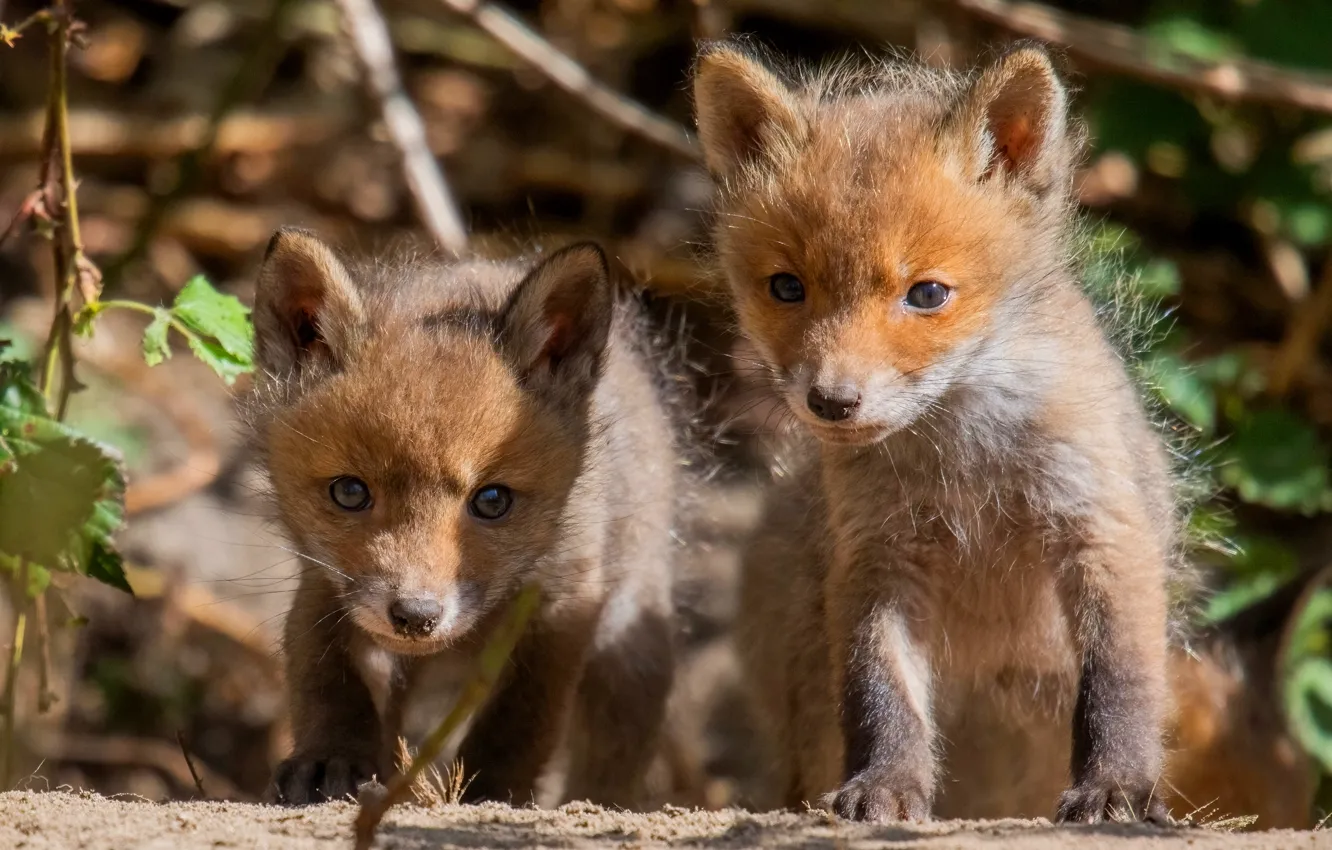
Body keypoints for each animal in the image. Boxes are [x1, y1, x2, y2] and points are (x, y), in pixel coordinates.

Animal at [244, 229, 680, 808]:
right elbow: (325, 677)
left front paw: (491, 793)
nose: (416, 615)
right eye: (350, 492)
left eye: (492, 501)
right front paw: (330, 758)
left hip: (630, 649)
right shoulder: (324, 581)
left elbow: (519, 722)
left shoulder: (564, 603)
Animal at [693, 41, 1188, 823]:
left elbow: (1119, 682)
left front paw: (1117, 786)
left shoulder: (1101, 526)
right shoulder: (875, 557)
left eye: (926, 294)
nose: (831, 401)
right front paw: (887, 785)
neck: (966, 462)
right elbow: (881, 694)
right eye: (786, 288)